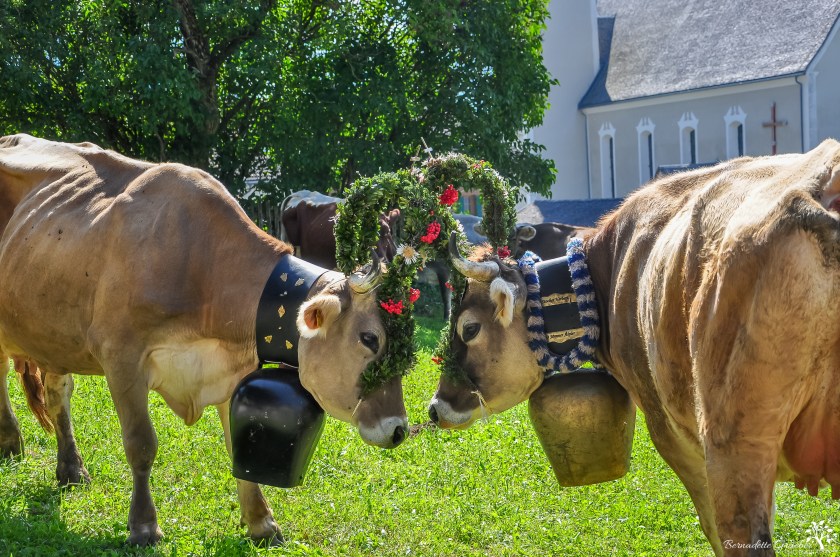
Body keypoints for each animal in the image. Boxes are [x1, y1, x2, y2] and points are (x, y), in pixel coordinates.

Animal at [0, 134, 408, 546]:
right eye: (370, 338)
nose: (399, 429)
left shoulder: (232, 370)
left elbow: (238, 449)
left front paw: (261, 522)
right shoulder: (121, 358)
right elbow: (141, 444)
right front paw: (144, 526)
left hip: (52, 330)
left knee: (57, 393)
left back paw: (71, 469)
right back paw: (10, 443)